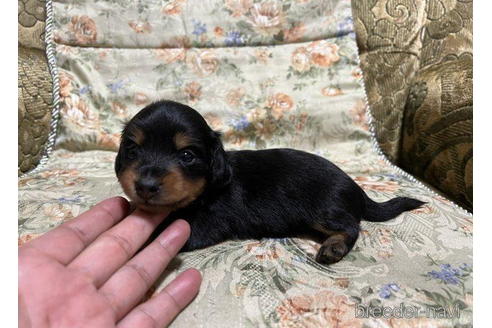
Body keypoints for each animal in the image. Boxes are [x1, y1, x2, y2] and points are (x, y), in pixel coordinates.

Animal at [114, 100, 422, 264]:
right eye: (133, 151)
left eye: (187, 156)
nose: (145, 186)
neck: (208, 189)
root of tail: (356, 188)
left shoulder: (206, 224)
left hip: (325, 208)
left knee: (351, 226)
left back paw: (333, 247)